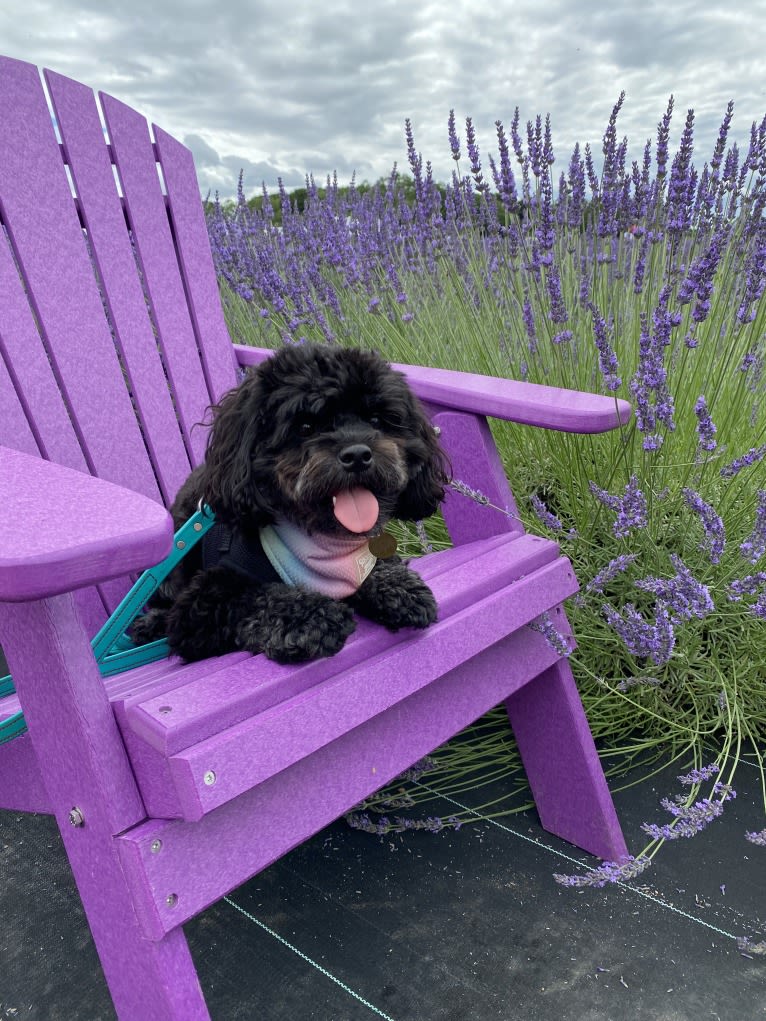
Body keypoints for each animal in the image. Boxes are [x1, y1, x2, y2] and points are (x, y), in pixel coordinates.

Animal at [133, 345, 449, 661]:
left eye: (376, 420)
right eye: (306, 426)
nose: (358, 455)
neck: (322, 543)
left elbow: (375, 568)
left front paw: (398, 588)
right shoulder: (199, 607)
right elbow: (257, 597)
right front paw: (310, 616)